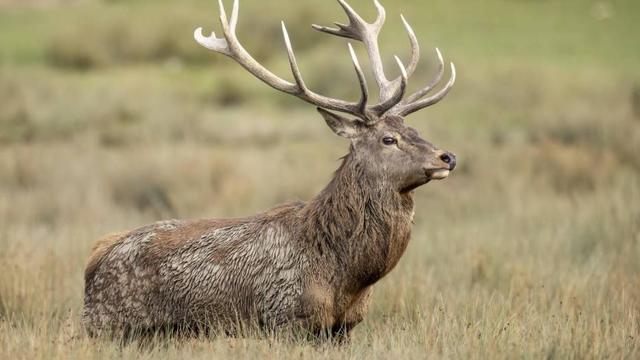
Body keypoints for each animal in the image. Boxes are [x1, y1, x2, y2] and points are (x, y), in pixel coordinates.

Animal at [82, 0, 458, 342]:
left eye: (414, 130)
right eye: (388, 139)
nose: (447, 157)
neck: (347, 277)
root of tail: (94, 260)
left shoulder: (344, 329)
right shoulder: (285, 318)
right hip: (111, 327)